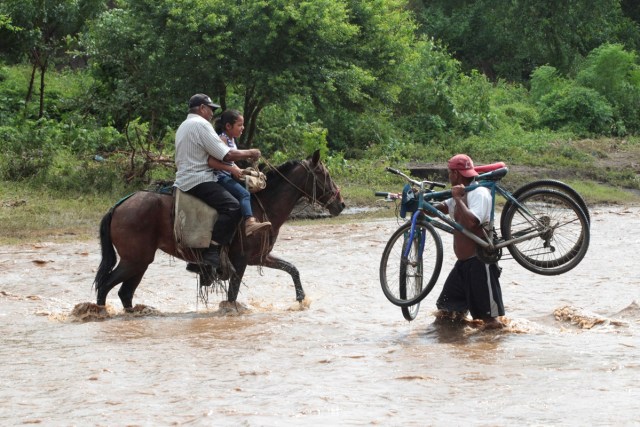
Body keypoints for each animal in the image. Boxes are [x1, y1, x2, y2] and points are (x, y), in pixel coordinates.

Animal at [94, 150, 344, 310]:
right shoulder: (240, 261)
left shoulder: (260, 257)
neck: (261, 206)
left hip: (140, 262)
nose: (340, 204)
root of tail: (119, 206)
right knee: (105, 287)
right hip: (133, 261)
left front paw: (301, 300)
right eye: (325, 175)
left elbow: (292, 269)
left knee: (125, 293)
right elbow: (232, 296)